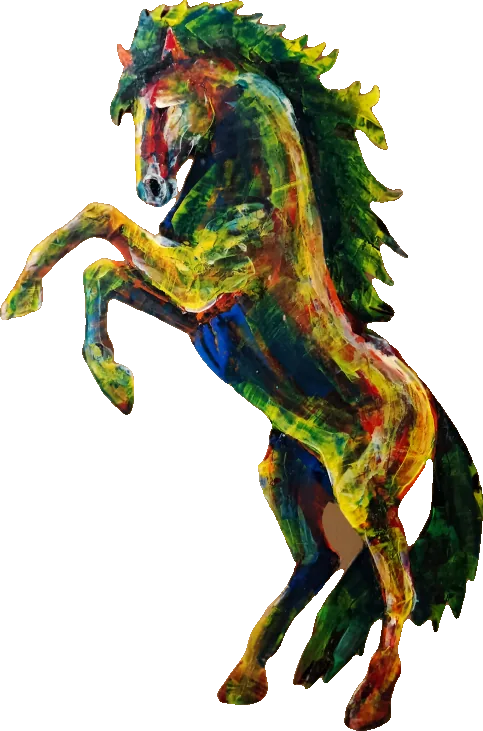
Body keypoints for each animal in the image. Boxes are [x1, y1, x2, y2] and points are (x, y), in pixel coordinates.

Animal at [1, 2, 481, 728]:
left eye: (161, 107)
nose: (152, 185)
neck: (259, 197)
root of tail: (428, 412)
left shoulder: (197, 280)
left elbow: (101, 227)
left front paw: (60, 332)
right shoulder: (195, 311)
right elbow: (105, 272)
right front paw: (108, 377)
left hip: (363, 494)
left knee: (397, 589)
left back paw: (367, 700)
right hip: (285, 470)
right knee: (318, 562)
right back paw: (244, 679)